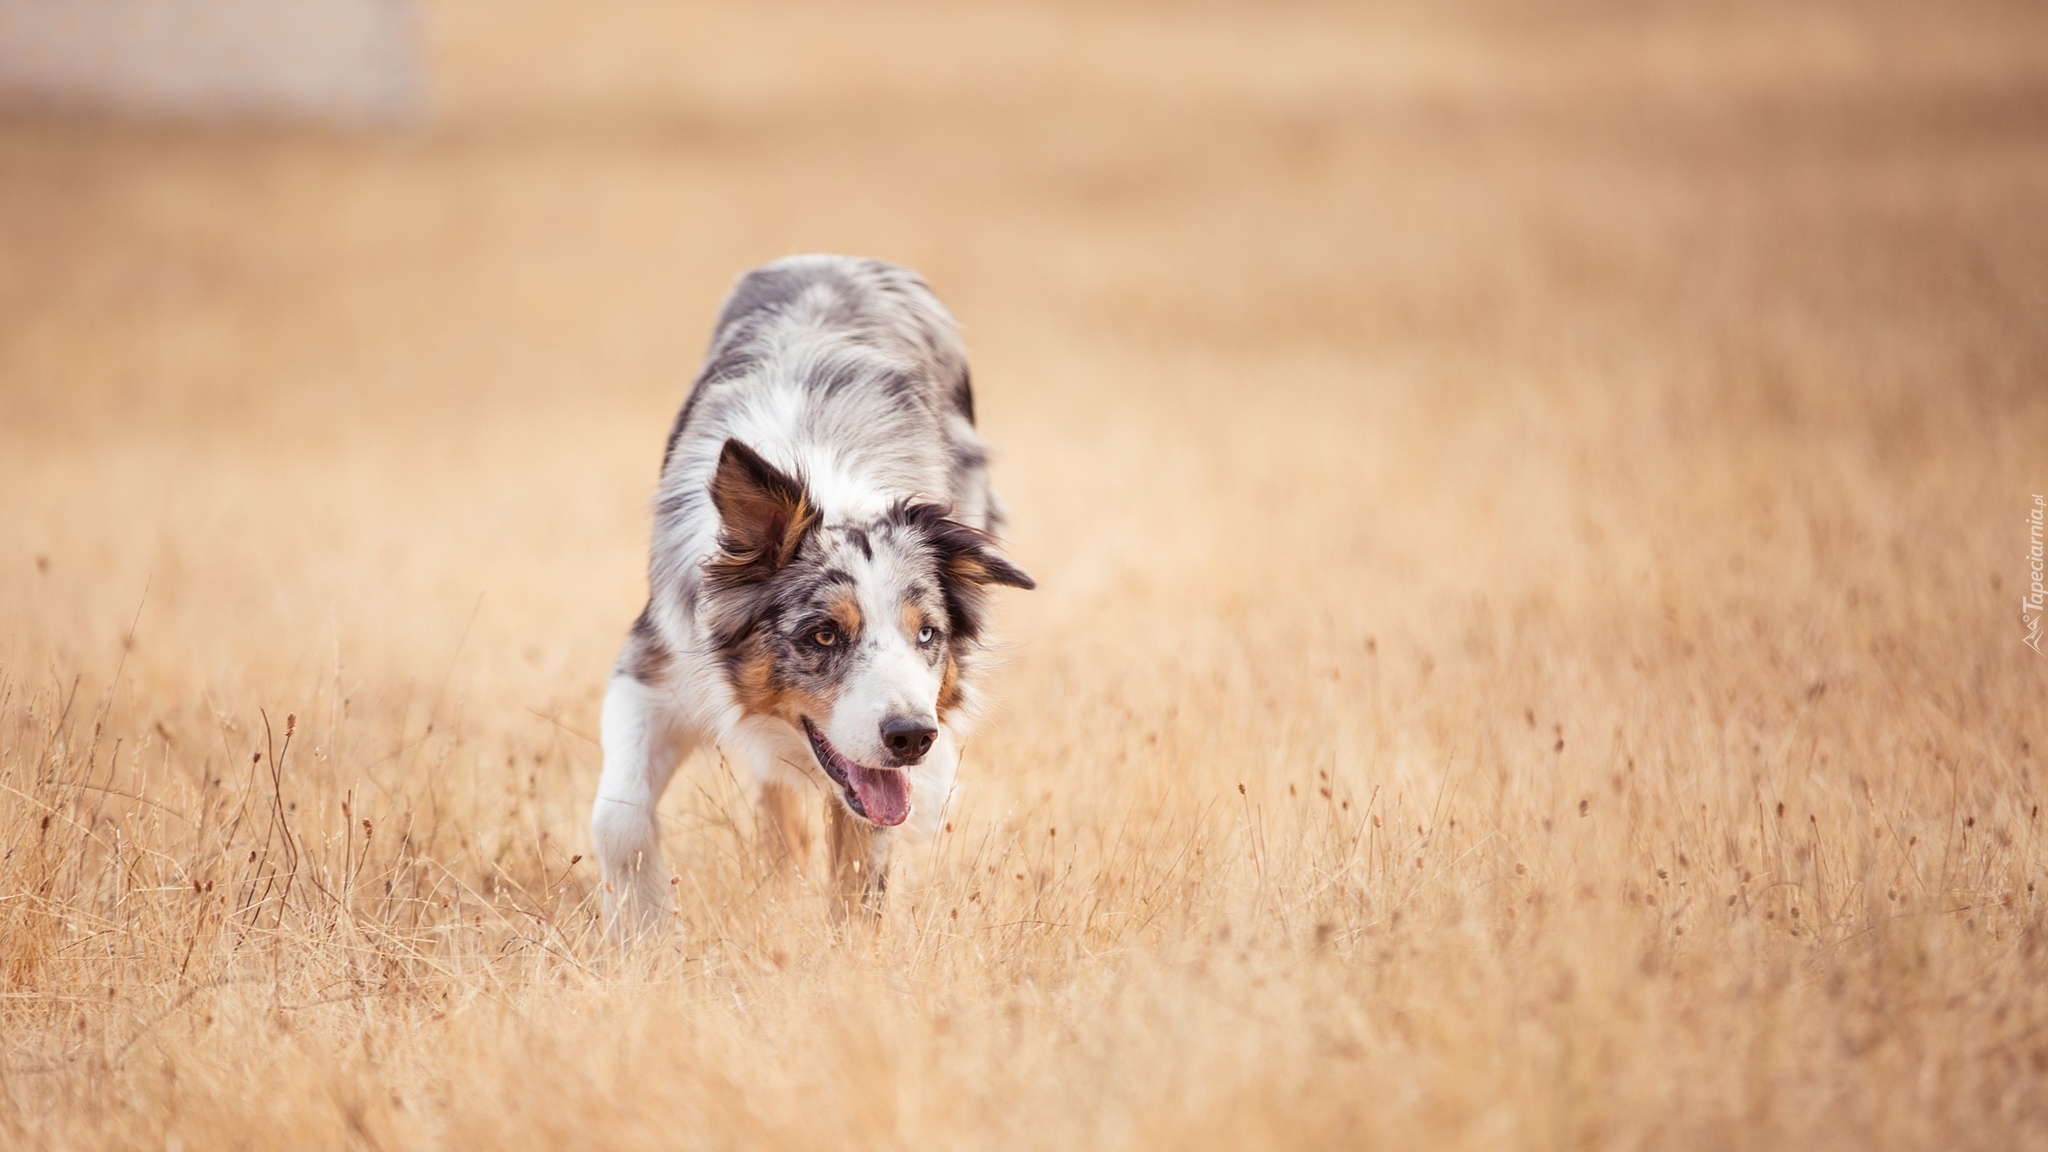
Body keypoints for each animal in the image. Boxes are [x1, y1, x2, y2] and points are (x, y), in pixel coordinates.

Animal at [598, 253, 1040, 934]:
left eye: (927, 633)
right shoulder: (655, 668)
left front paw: (849, 951)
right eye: (823, 634)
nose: (913, 736)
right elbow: (619, 817)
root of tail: (841, 257)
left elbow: (860, 871)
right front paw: (645, 932)